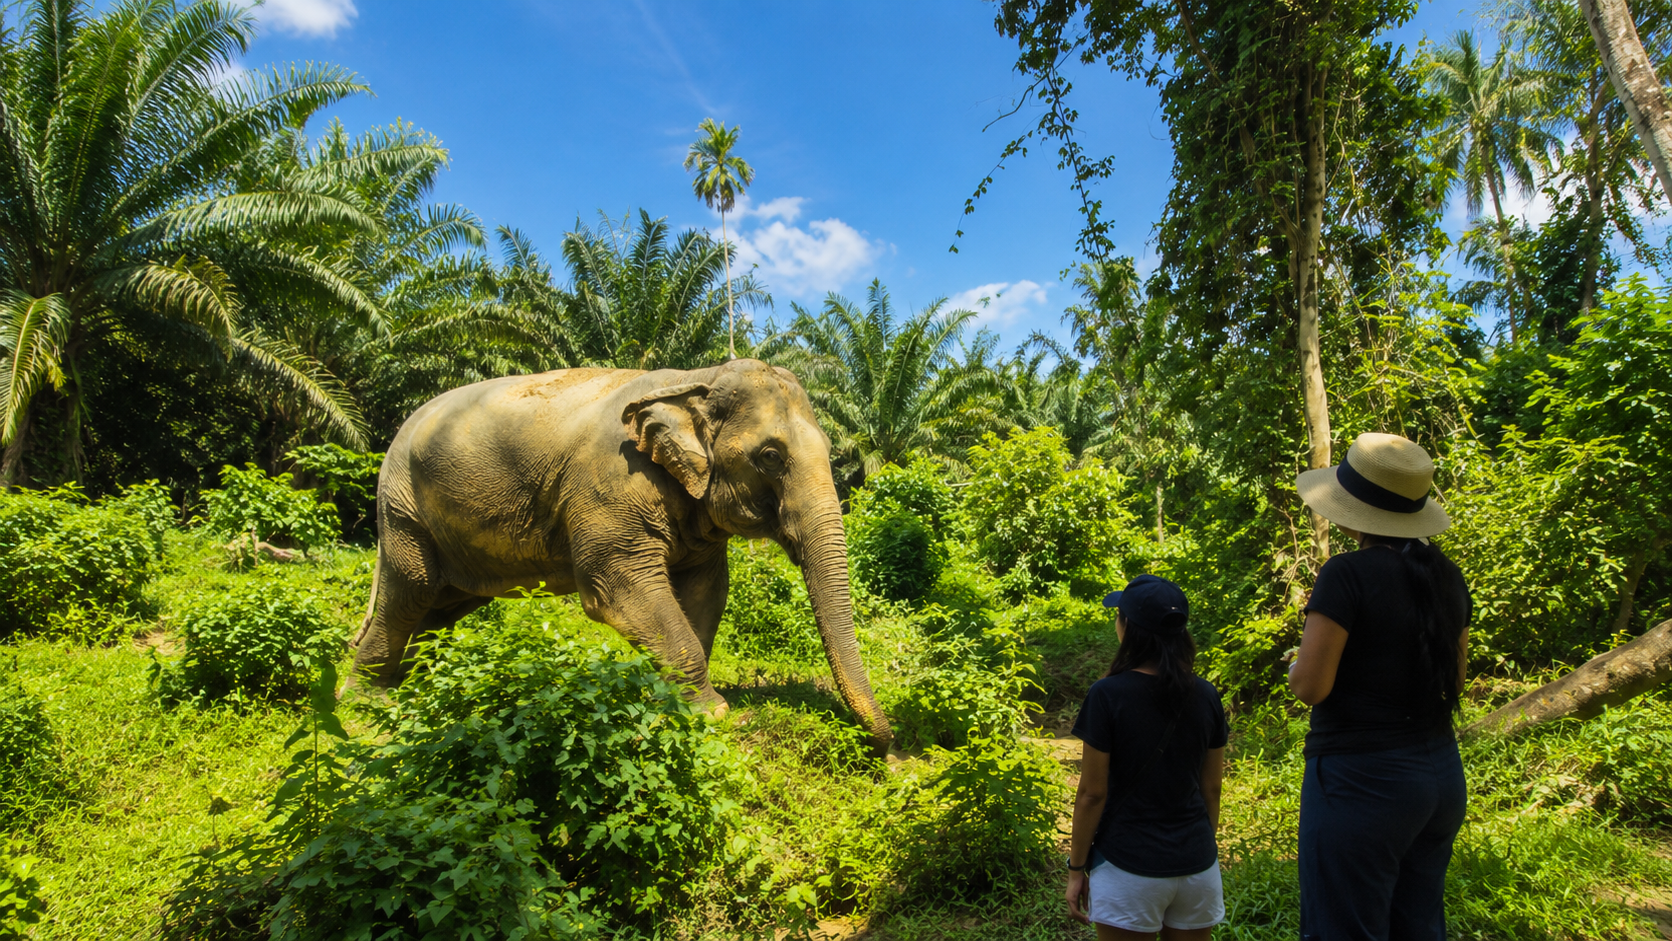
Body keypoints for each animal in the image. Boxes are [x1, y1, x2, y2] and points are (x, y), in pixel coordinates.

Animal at [348, 358, 894, 752]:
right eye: (771, 457)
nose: (892, 753)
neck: (695, 378)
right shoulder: (610, 483)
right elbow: (617, 587)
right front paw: (715, 712)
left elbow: (706, 591)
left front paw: (669, 699)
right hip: (403, 506)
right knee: (413, 588)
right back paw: (370, 700)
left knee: (442, 605)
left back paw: (419, 687)